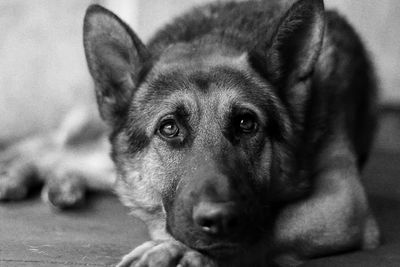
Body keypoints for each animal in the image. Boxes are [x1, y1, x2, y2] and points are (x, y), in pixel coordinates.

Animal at [0, 0, 382, 266]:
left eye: (247, 124)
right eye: (169, 127)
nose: (220, 218)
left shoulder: (343, 203)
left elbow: (270, 225)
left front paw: (182, 251)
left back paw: (62, 184)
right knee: (50, 149)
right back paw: (16, 174)